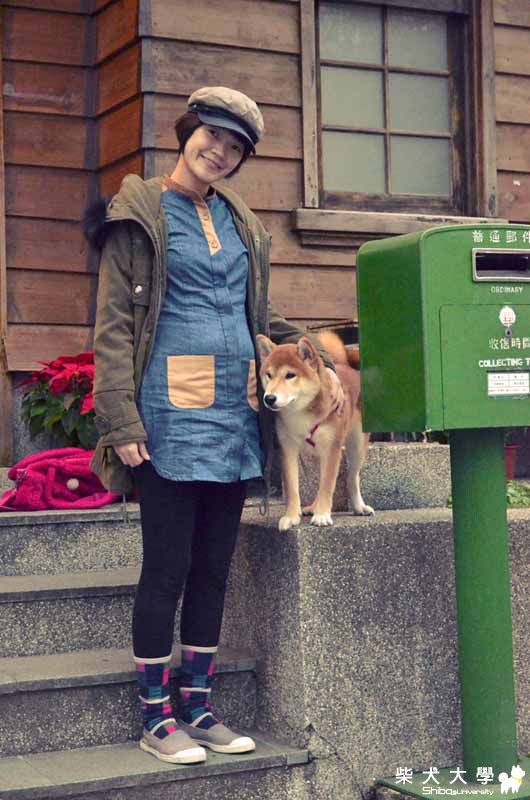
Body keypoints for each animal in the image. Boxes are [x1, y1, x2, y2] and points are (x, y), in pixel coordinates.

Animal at [256, 331, 374, 531]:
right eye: (269, 375)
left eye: (290, 375)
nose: (269, 398)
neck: (300, 414)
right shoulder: (287, 448)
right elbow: (293, 488)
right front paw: (291, 516)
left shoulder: (332, 449)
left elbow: (327, 486)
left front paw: (322, 515)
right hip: (317, 455)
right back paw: (313, 506)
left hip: (356, 446)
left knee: (352, 477)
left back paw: (359, 507)